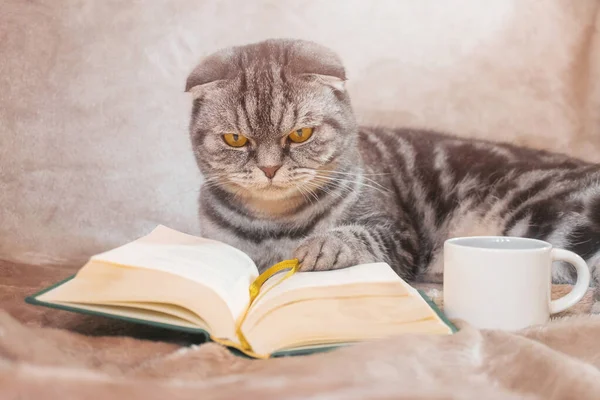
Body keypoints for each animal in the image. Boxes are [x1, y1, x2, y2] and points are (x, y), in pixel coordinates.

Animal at [186, 38, 600, 290]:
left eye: (300, 134)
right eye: (236, 139)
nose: (269, 169)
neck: (275, 225)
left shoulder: (398, 233)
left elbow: (358, 236)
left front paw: (324, 245)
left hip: (551, 219)